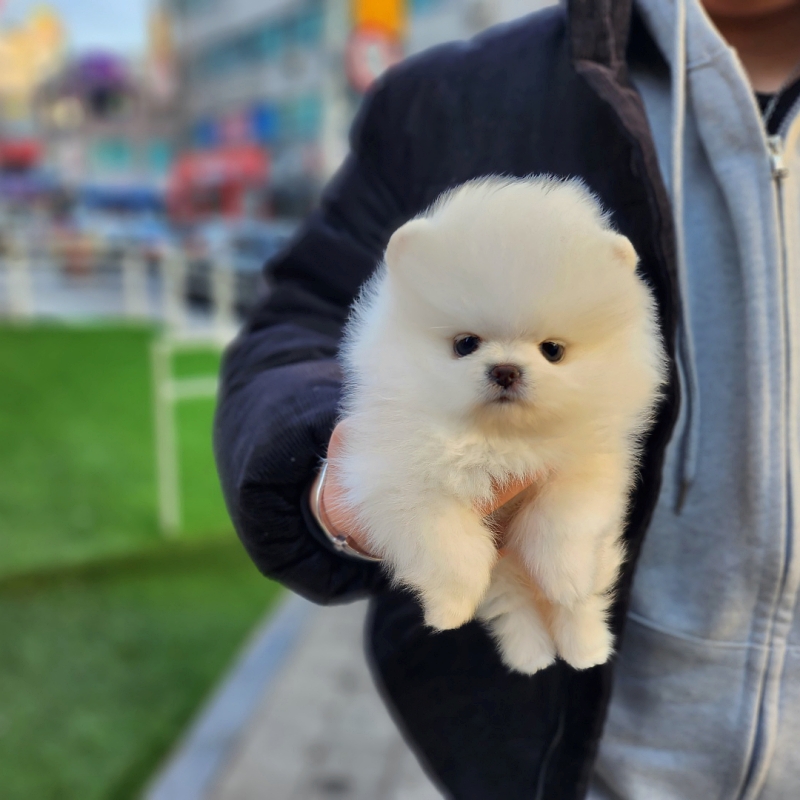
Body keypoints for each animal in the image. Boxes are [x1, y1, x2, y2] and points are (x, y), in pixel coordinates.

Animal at [333, 176, 666, 673]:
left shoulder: (589, 470)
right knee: (514, 604)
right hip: (504, 575)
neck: (498, 438)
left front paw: (564, 579)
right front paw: (450, 607)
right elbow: (450, 546)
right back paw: (533, 655)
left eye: (552, 350)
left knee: (583, 602)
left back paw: (585, 647)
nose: (506, 370)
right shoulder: (396, 483)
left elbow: (563, 523)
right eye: (465, 344)